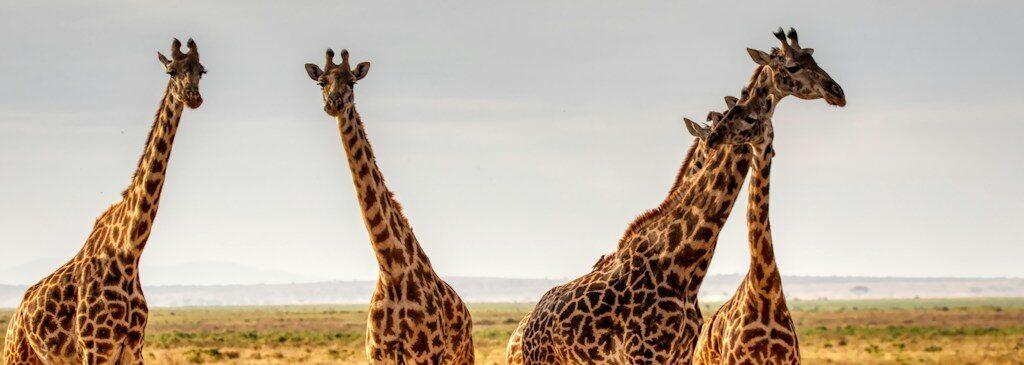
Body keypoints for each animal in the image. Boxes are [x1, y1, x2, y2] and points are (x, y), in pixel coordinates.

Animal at [4, 38, 205, 362]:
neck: (129, 252)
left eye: (201, 71)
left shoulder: (133, 348)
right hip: (18, 355)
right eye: (171, 72)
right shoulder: (96, 348)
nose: (193, 97)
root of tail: (15, 318)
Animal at [303, 49, 475, 365]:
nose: (334, 103)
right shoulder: (378, 356)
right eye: (321, 82)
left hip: (463, 356)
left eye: (352, 81)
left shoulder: (425, 356)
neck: (392, 271)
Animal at [505, 27, 847, 362]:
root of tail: (528, 324)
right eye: (793, 66)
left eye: (813, 58)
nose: (837, 91)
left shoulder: (681, 353)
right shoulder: (645, 353)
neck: (683, 264)